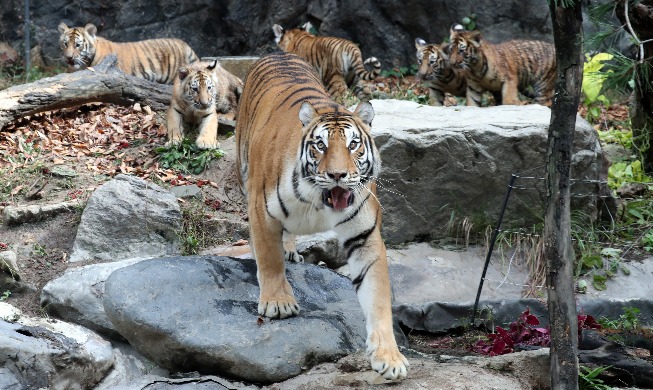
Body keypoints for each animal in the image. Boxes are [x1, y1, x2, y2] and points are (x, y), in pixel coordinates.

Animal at [234, 53, 408, 380]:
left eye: (353, 144)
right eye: (320, 145)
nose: (338, 175)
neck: (318, 202)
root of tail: (277, 53)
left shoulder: (365, 236)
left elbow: (378, 297)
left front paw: (389, 357)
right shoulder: (261, 209)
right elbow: (269, 258)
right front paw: (278, 302)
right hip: (243, 169)